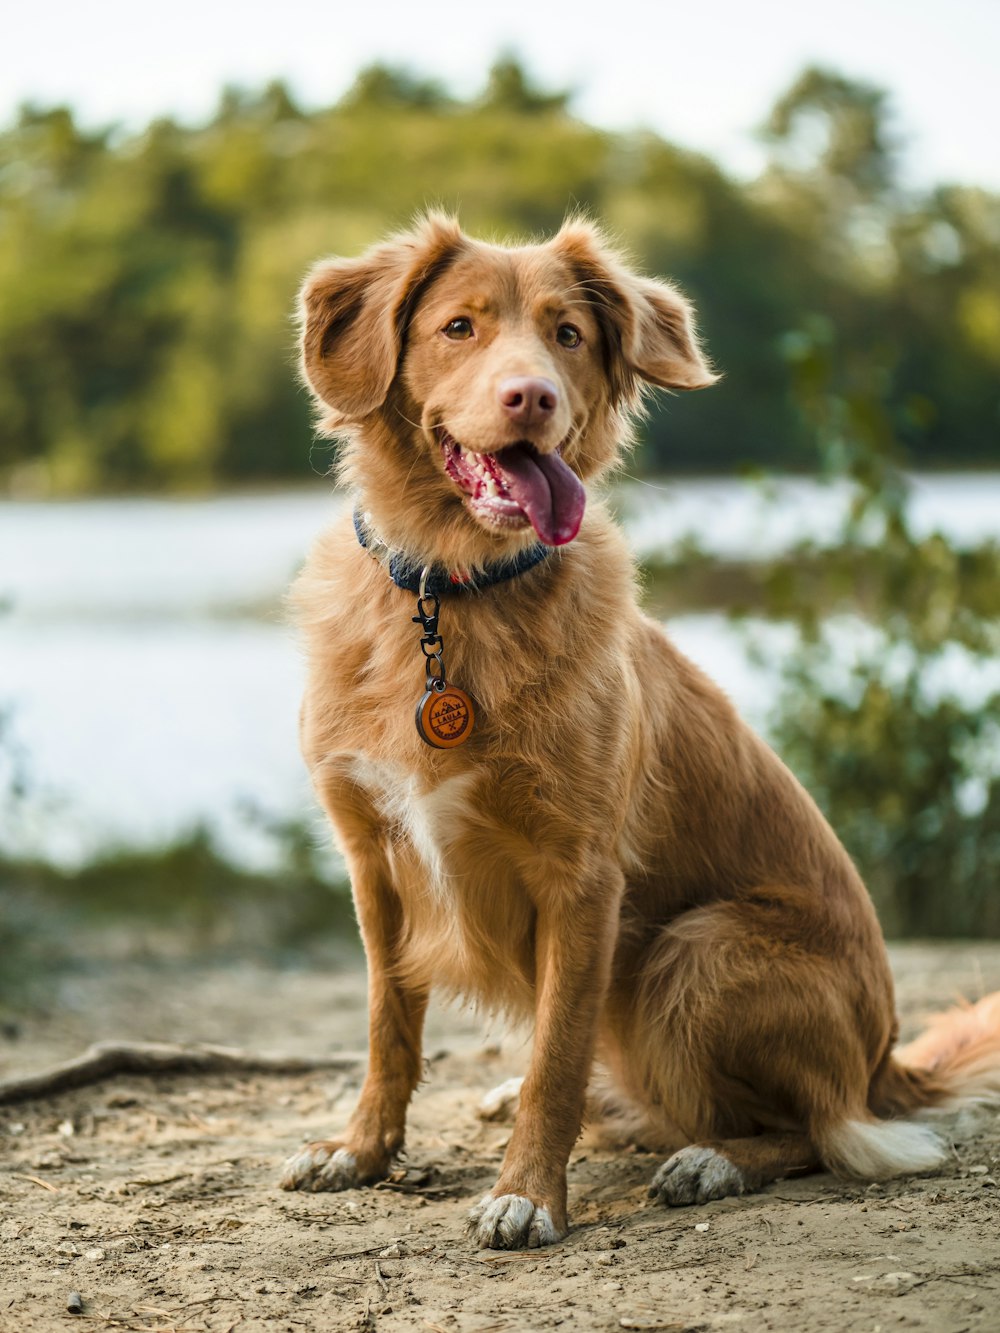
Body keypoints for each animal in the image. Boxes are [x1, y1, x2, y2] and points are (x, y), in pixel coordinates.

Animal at [278, 213, 1000, 1242]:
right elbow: (388, 1026)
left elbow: (557, 1055)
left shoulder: (582, 878)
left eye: (568, 334)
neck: (455, 593)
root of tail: (885, 1062)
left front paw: (526, 1194)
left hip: (694, 953)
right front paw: (361, 1150)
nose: (532, 395)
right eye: (458, 326)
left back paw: (711, 1160)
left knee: (823, 1129)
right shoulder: (373, 859)